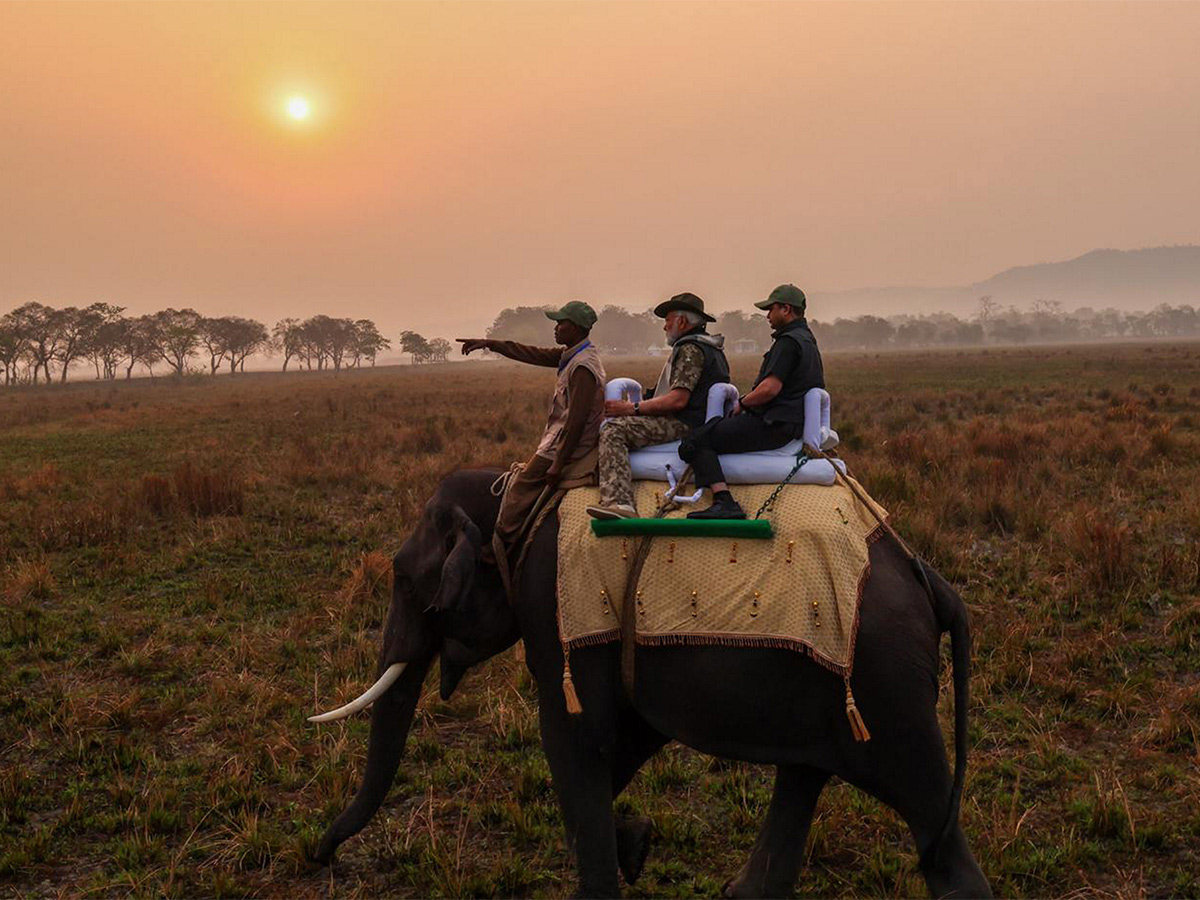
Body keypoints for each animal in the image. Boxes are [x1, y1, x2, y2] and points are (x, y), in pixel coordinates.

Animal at [309, 472, 993, 900]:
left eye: (403, 579)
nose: (320, 856)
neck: (514, 493)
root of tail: (930, 578)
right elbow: (623, 739)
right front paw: (636, 847)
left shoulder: (554, 609)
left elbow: (577, 740)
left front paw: (622, 856)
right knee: (805, 773)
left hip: (886, 684)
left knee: (924, 805)